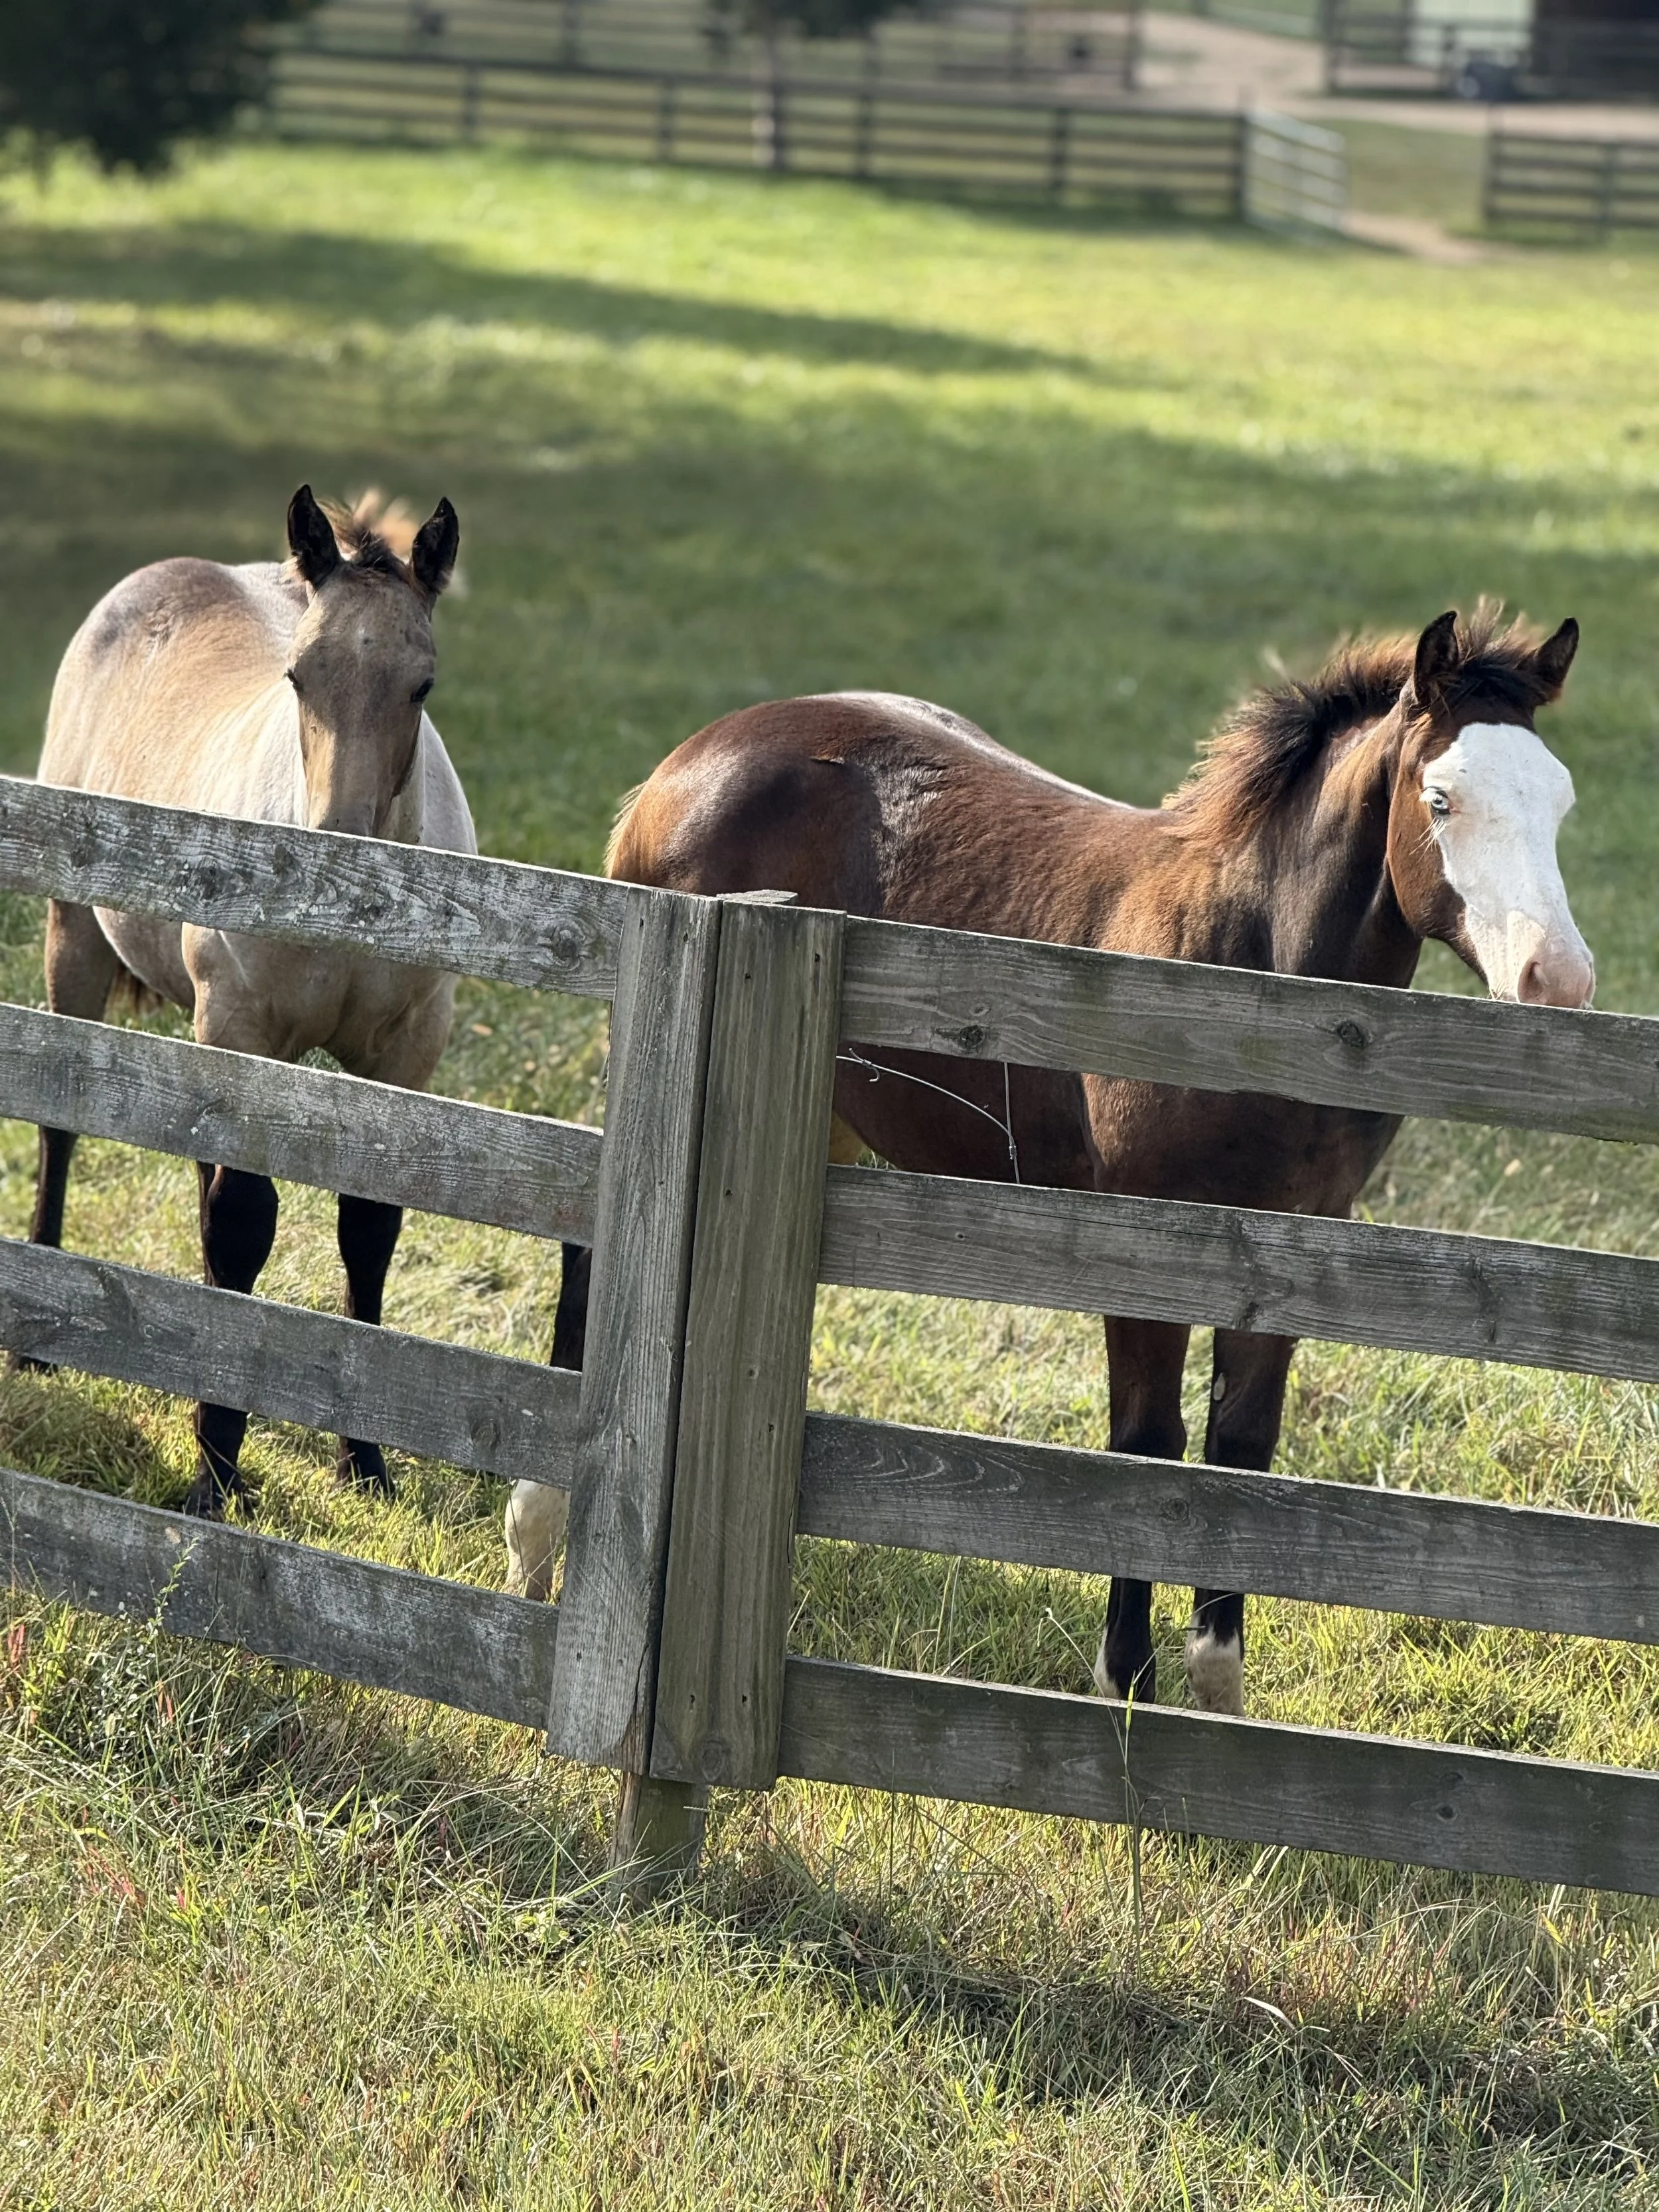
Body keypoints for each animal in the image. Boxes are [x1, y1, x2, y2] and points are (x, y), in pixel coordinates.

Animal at [27, 486, 477, 1519]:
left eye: (423, 686)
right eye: (299, 677)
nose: (338, 850)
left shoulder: (403, 1056)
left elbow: (367, 1232)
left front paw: (365, 1462)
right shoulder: (242, 1033)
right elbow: (240, 1228)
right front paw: (215, 1472)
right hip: (77, 942)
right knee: (64, 1126)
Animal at [505, 607, 1594, 1718]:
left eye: (1560, 801)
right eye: (1441, 799)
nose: (1559, 980)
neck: (1251, 980)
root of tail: (689, 760)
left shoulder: (1296, 1252)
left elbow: (1241, 1455)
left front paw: (1218, 1698)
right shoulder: (1147, 1245)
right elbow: (1147, 1449)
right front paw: (1127, 1686)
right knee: (593, 1245)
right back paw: (537, 1540)